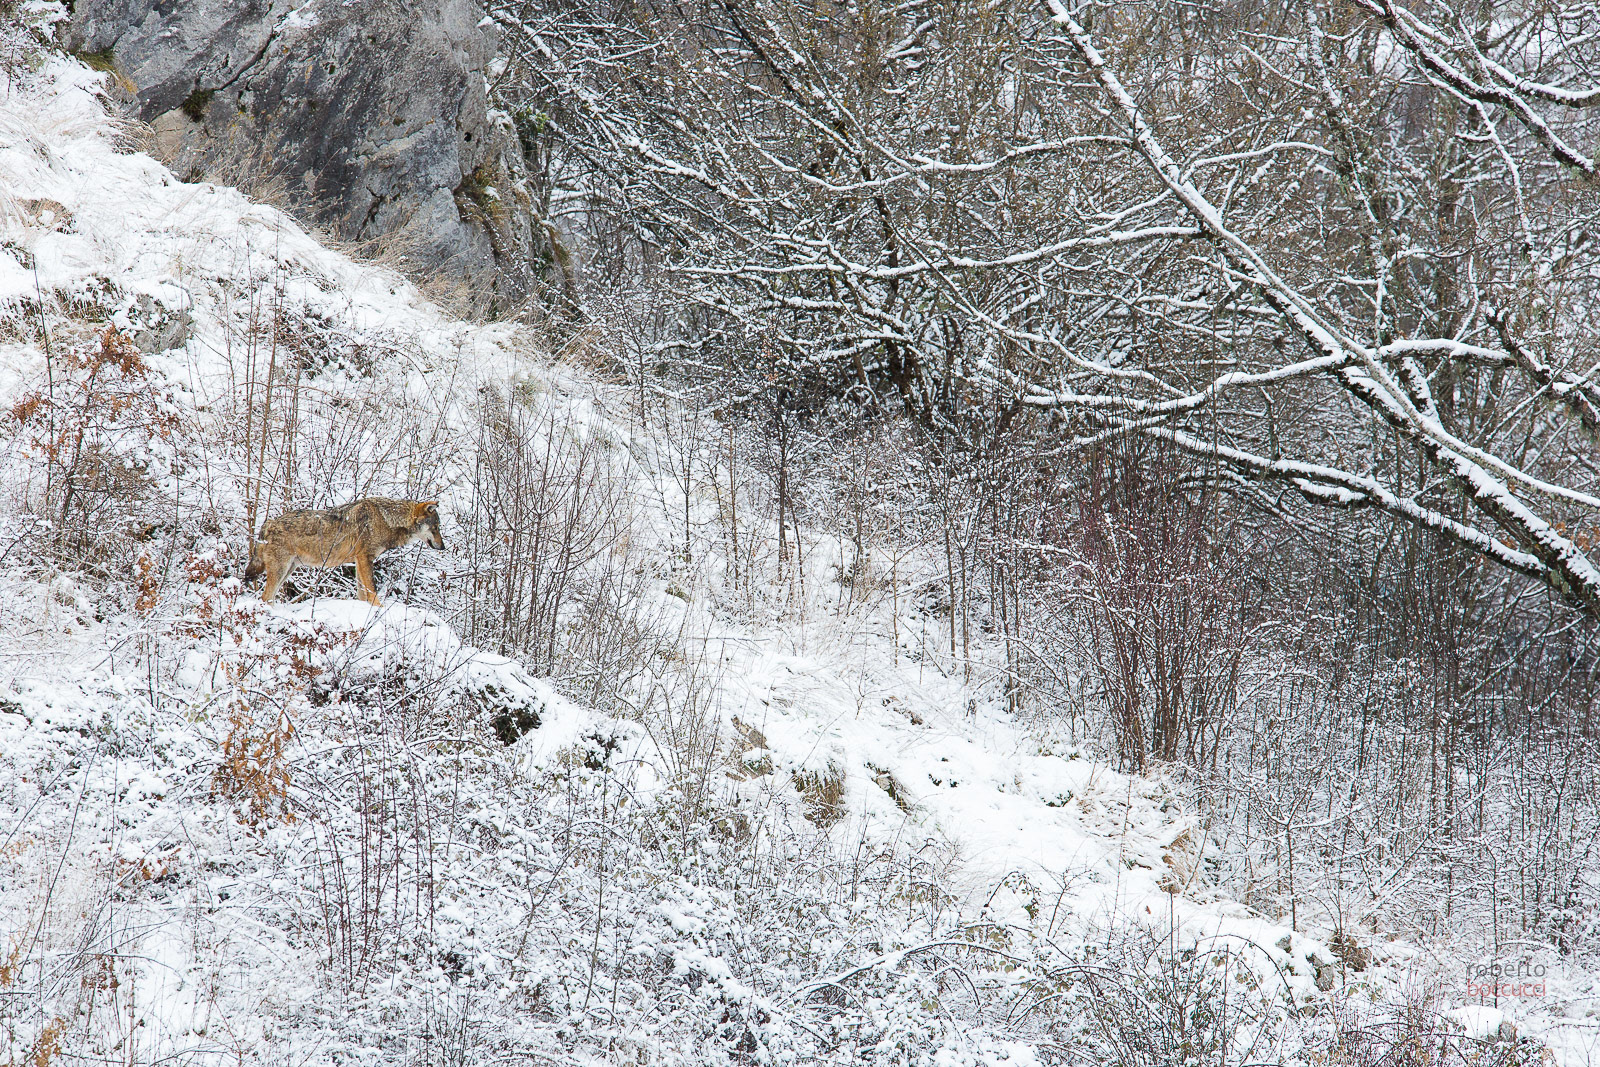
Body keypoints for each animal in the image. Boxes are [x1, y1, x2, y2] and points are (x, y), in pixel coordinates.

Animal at [244, 498, 444, 605]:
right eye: (435, 528)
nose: (443, 547)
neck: (386, 519)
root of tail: (268, 523)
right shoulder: (364, 558)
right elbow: (372, 591)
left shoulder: (359, 561)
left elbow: (362, 593)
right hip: (281, 570)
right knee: (265, 596)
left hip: (289, 570)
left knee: (269, 596)